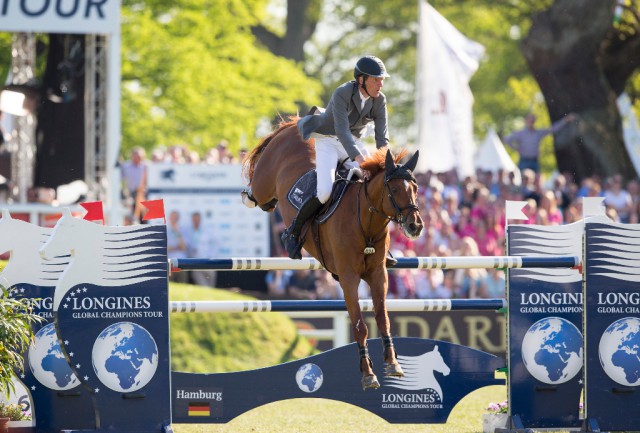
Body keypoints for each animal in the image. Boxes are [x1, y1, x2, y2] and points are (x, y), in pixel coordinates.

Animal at [242, 120, 422, 390]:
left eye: (415, 188)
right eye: (394, 188)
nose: (415, 226)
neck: (365, 220)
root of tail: (293, 127)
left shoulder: (378, 274)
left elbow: (383, 319)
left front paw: (393, 363)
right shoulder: (348, 277)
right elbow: (360, 326)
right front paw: (368, 374)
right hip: (263, 185)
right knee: (257, 194)